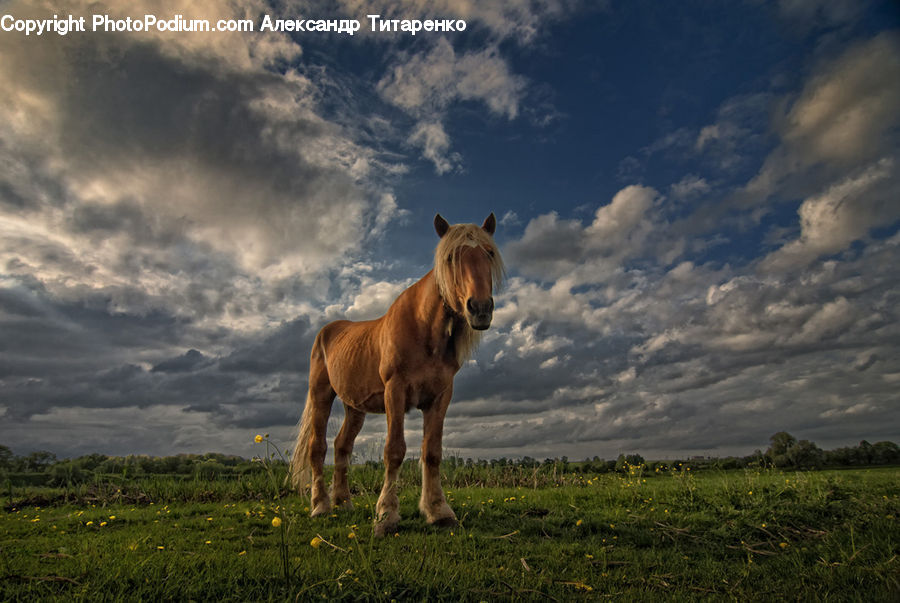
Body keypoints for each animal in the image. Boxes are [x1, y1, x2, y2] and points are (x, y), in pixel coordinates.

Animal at [290, 213, 504, 535]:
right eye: (451, 257)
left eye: (489, 253)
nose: (479, 308)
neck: (423, 330)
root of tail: (328, 331)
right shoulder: (396, 391)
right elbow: (394, 450)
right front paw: (386, 516)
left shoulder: (440, 397)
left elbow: (432, 453)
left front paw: (439, 511)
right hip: (321, 395)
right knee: (318, 448)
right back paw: (321, 506)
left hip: (354, 407)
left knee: (342, 447)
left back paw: (343, 502)